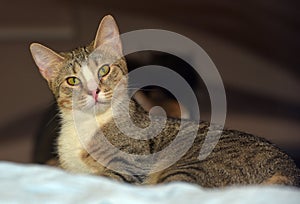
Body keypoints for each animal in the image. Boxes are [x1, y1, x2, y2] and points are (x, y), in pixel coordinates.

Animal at [29, 13, 298, 186]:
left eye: (104, 70)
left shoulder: (127, 167)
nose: (94, 91)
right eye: (72, 81)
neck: (89, 125)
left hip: (188, 169)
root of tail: (288, 168)